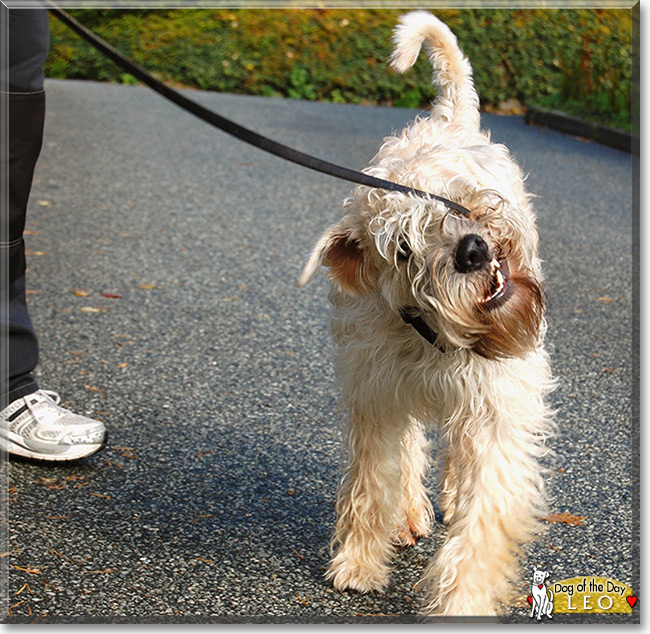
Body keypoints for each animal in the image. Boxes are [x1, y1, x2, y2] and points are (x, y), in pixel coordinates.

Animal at [298, 8, 552, 612]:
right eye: (402, 248)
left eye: (446, 197)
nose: (472, 250)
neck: (432, 336)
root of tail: (447, 116)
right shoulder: (377, 393)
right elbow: (373, 481)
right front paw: (360, 563)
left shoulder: (496, 407)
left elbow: (483, 519)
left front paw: (463, 600)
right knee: (410, 452)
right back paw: (409, 513)